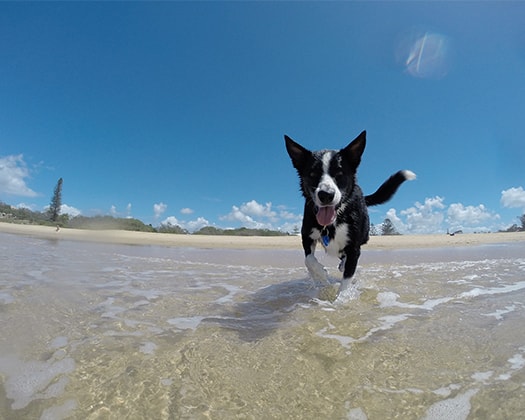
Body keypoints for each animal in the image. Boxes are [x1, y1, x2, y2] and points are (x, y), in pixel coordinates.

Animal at [284, 131, 416, 298]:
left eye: (340, 173)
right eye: (313, 174)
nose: (326, 195)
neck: (332, 223)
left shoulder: (354, 248)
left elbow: (347, 278)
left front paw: (342, 299)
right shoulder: (307, 236)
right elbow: (309, 260)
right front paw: (322, 276)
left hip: (364, 235)